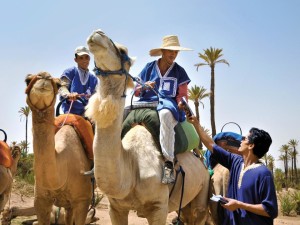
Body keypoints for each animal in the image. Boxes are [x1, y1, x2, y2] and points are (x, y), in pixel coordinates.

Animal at [84, 29, 211, 225]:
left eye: (122, 50)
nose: (98, 33)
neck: (131, 165)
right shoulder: (115, 207)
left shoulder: (159, 207)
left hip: (203, 192)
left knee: (199, 212)